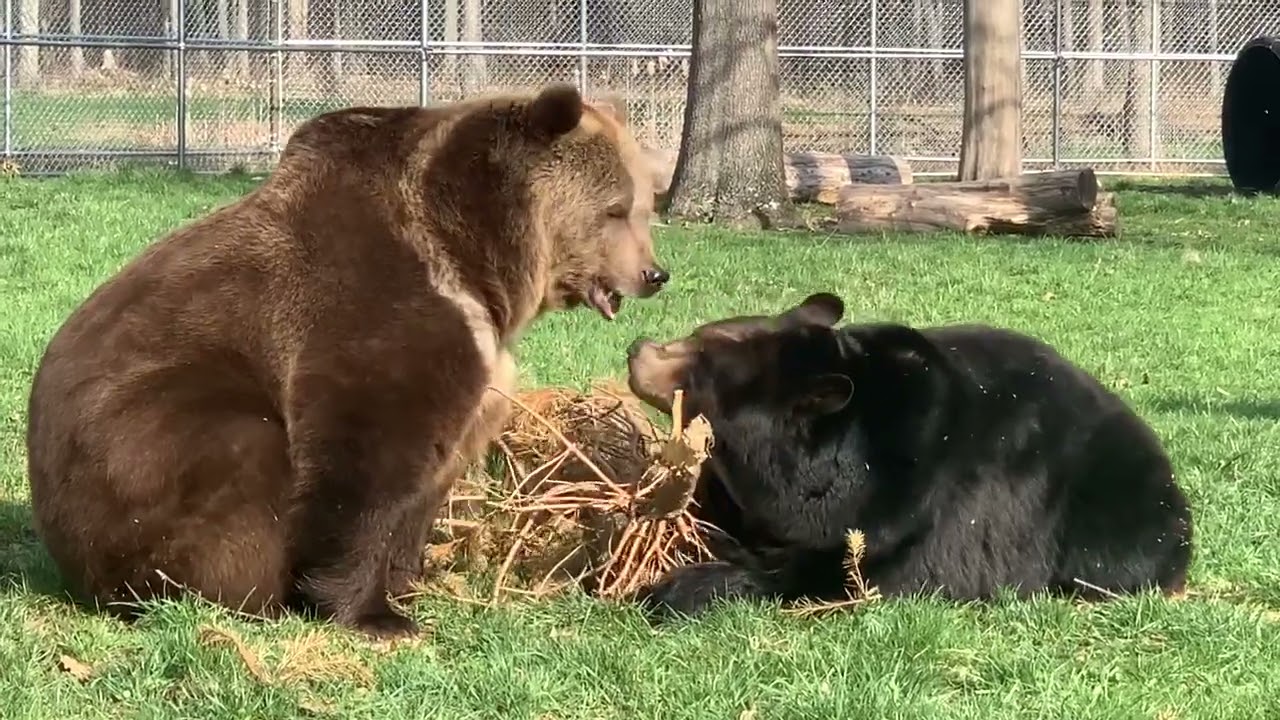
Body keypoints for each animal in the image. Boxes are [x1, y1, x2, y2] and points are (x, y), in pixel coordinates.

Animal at [25, 83, 670, 639]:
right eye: (616, 209)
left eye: (645, 206)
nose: (654, 274)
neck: (473, 259)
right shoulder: (372, 311)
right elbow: (363, 457)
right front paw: (375, 615)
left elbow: (429, 479)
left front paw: (411, 582)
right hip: (147, 456)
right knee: (243, 456)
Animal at [623, 292, 1194, 620]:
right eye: (698, 333)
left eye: (701, 352)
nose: (637, 348)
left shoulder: (901, 502)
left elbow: (827, 571)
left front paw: (675, 588)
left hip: (1108, 521)